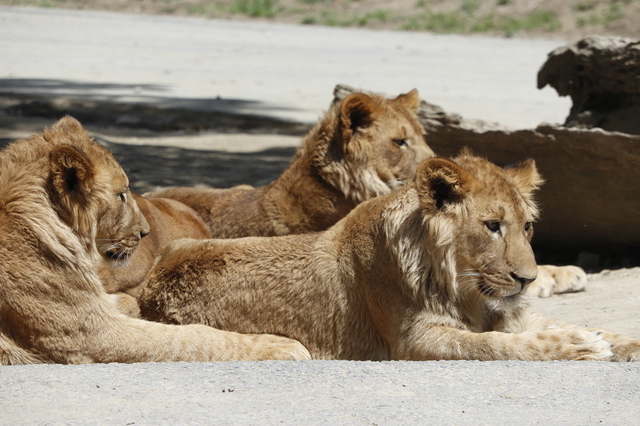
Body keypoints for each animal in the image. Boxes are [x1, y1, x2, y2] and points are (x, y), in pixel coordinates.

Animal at [0, 115, 310, 362]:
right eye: (121, 195)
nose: (145, 232)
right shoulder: (89, 335)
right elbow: (191, 337)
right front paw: (281, 345)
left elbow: (125, 302)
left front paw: (130, 304)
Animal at [140, 151, 640, 362]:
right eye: (491, 226)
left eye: (527, 226)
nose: (529, 280)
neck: (464, 289)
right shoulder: (414, 341)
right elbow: (497, 345)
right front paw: (580, 345)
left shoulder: (510, 312)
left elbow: (568, 326)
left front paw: (619, 341)